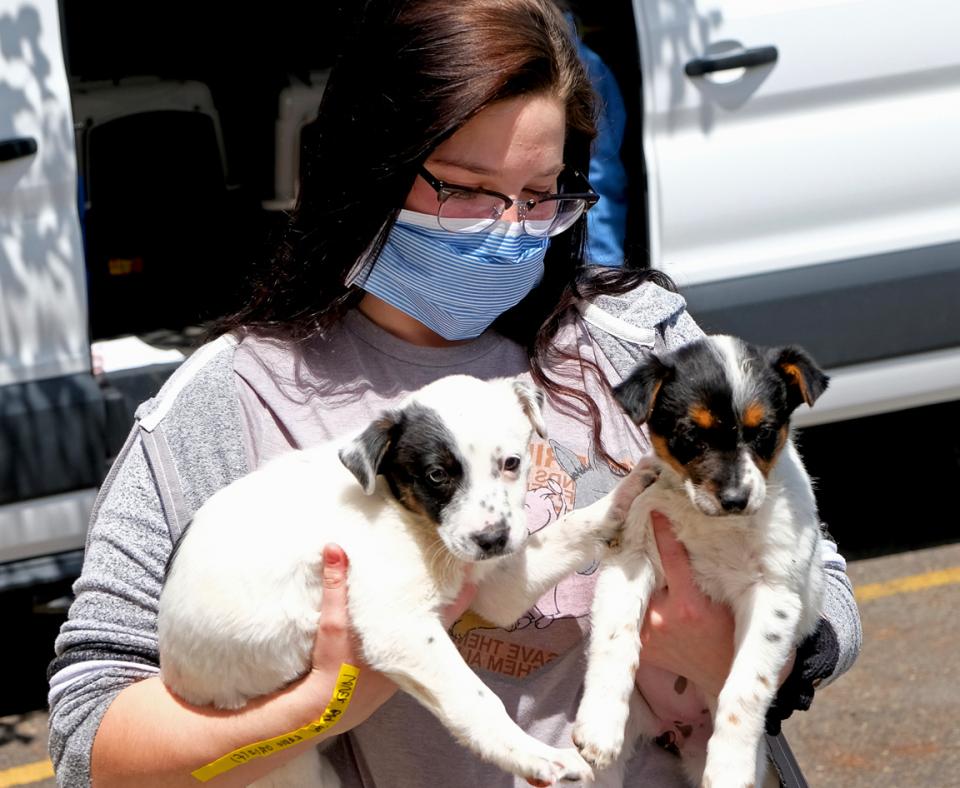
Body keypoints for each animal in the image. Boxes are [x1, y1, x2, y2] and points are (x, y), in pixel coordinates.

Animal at [159, 376, 652, 788]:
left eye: (512, 462)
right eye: (437, 475)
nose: (492, 539)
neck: (406, 513)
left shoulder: (495, 589)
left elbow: (569, 529)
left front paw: (632, 488)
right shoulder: (398, 627)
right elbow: (475, 698)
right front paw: (535, 756)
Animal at [572, 336, 828, 788]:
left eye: (763, 433)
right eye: (691, 434)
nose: (735, 499)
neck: (712, 524)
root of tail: (672, 729)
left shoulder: (773, 594)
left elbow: (746, 684)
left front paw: (729, 765)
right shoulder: (631, 556)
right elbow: (615, 639)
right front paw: (600, 723)